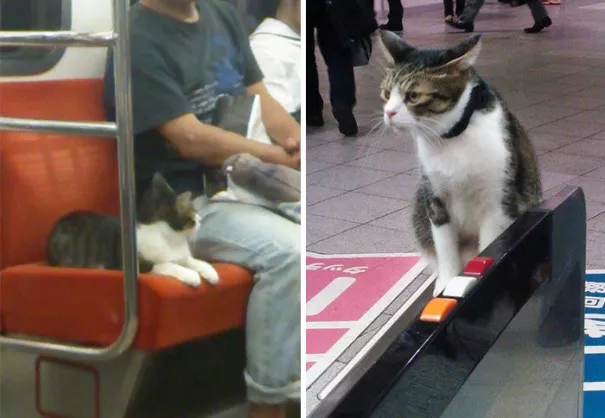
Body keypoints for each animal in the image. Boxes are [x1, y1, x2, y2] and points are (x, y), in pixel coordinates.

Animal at [47, 171, 217, 286]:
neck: (171, 238)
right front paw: (191, 276)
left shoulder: (181, 255)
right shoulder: (141, 265)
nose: (200, 220)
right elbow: (167, 265)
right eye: (193, 214)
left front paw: (211, 272)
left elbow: (193, 260)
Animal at [380, 31, 540, 298]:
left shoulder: (497, 202)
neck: (451, 139)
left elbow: (489, 246)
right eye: (385, 93)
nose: (388, 113)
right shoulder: (434, 198)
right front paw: (446, 282)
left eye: (413, 96)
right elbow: (445, 248)